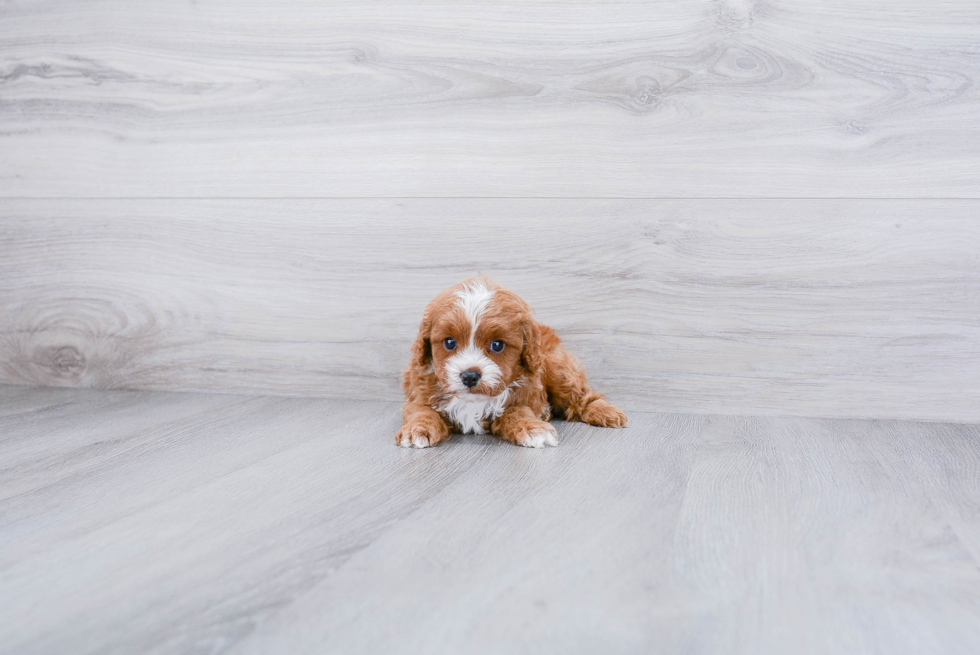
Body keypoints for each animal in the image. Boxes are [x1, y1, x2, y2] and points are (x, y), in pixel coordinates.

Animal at [398, 274, 628, 448]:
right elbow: (421, 412)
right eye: (449, 342)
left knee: (581, 394)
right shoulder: (418, 393)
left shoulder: (523, 395)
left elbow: (518, 413)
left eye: (497, 345)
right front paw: (417, 429)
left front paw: (533, 428)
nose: (470, 376)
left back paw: (605, 412)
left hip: (557, 366)